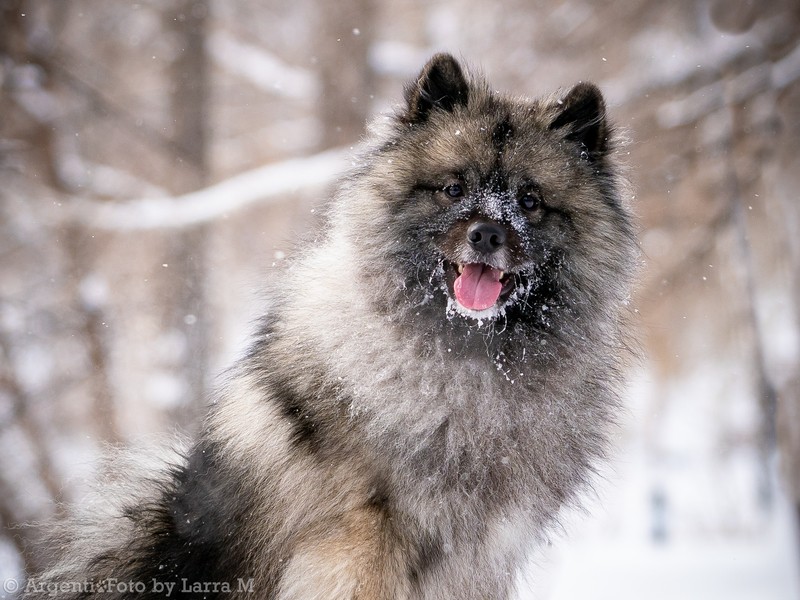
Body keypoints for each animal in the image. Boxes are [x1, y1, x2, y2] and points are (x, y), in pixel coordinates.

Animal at [25, 55, 636, 600]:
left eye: (530, 202)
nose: (486, 234)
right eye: (454, 189)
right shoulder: (362, 543)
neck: (469, 361)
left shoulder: (481, 559)